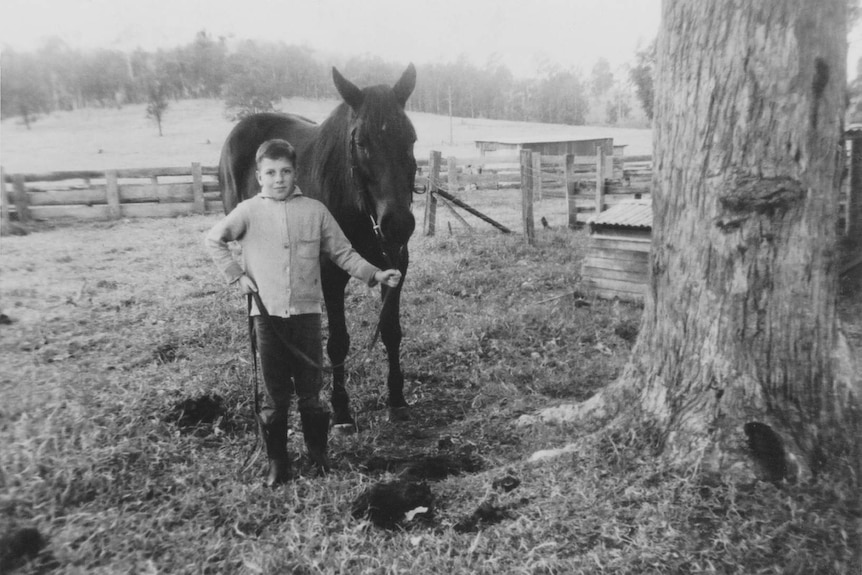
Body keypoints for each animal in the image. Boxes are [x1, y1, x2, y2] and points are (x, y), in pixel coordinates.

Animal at [218, 65, 416, 430]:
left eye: (410, 139)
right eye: (360, 142)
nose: (398, 224)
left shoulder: (395, 266)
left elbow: (391, 331)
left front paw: (396, 398)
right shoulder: (330, 274)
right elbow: (337, 342)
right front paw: (341, 410)